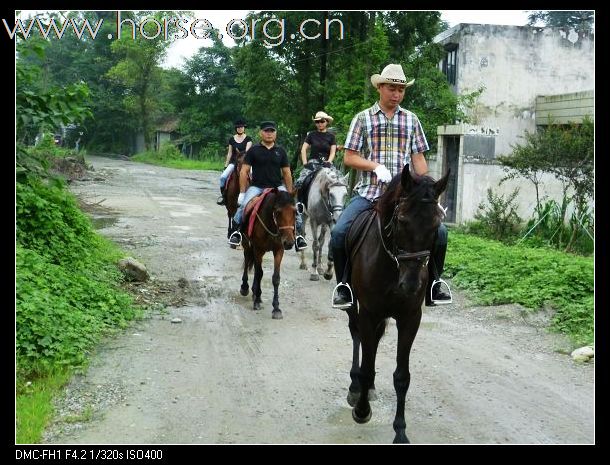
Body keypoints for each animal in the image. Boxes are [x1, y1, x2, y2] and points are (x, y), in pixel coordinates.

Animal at [239, 188, 296, 320]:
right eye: (278, 212)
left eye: (295, 212)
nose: (289, 242)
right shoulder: (258, 249)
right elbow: (259, 274)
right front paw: (257, 300)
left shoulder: (279, 250)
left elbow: (276, 278)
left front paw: (276, 308)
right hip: (247, 243)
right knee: (247, 261)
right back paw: (245, 288)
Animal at [344, 163, 448, 442]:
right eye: (401, 221)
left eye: (436, 224)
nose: (410, 286)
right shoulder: (368, 313)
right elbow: (367, 364)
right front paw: (361, 411)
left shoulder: (410, 318)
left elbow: (402, 376)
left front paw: (400, 431)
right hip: (354, 306)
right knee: (356, 336)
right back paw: (356, 388)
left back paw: (369, 388)